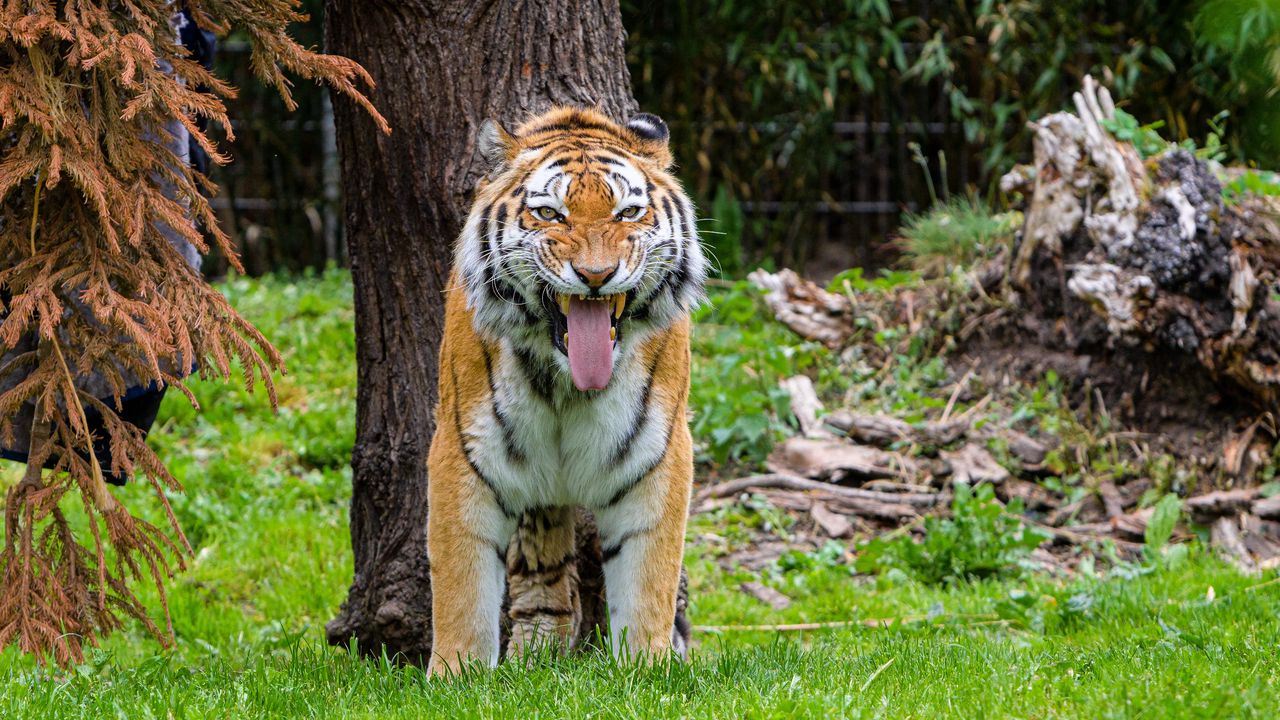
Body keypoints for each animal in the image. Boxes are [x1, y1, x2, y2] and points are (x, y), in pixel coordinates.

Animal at [425, 106, 708, 676]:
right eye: (550, 214)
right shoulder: (463, 453)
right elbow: (462, 588)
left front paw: (647, 668)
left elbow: (649, 583)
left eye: (628, 212)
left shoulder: (656, 457)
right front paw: (455, 676)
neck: (567, 385)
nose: (596, 276)